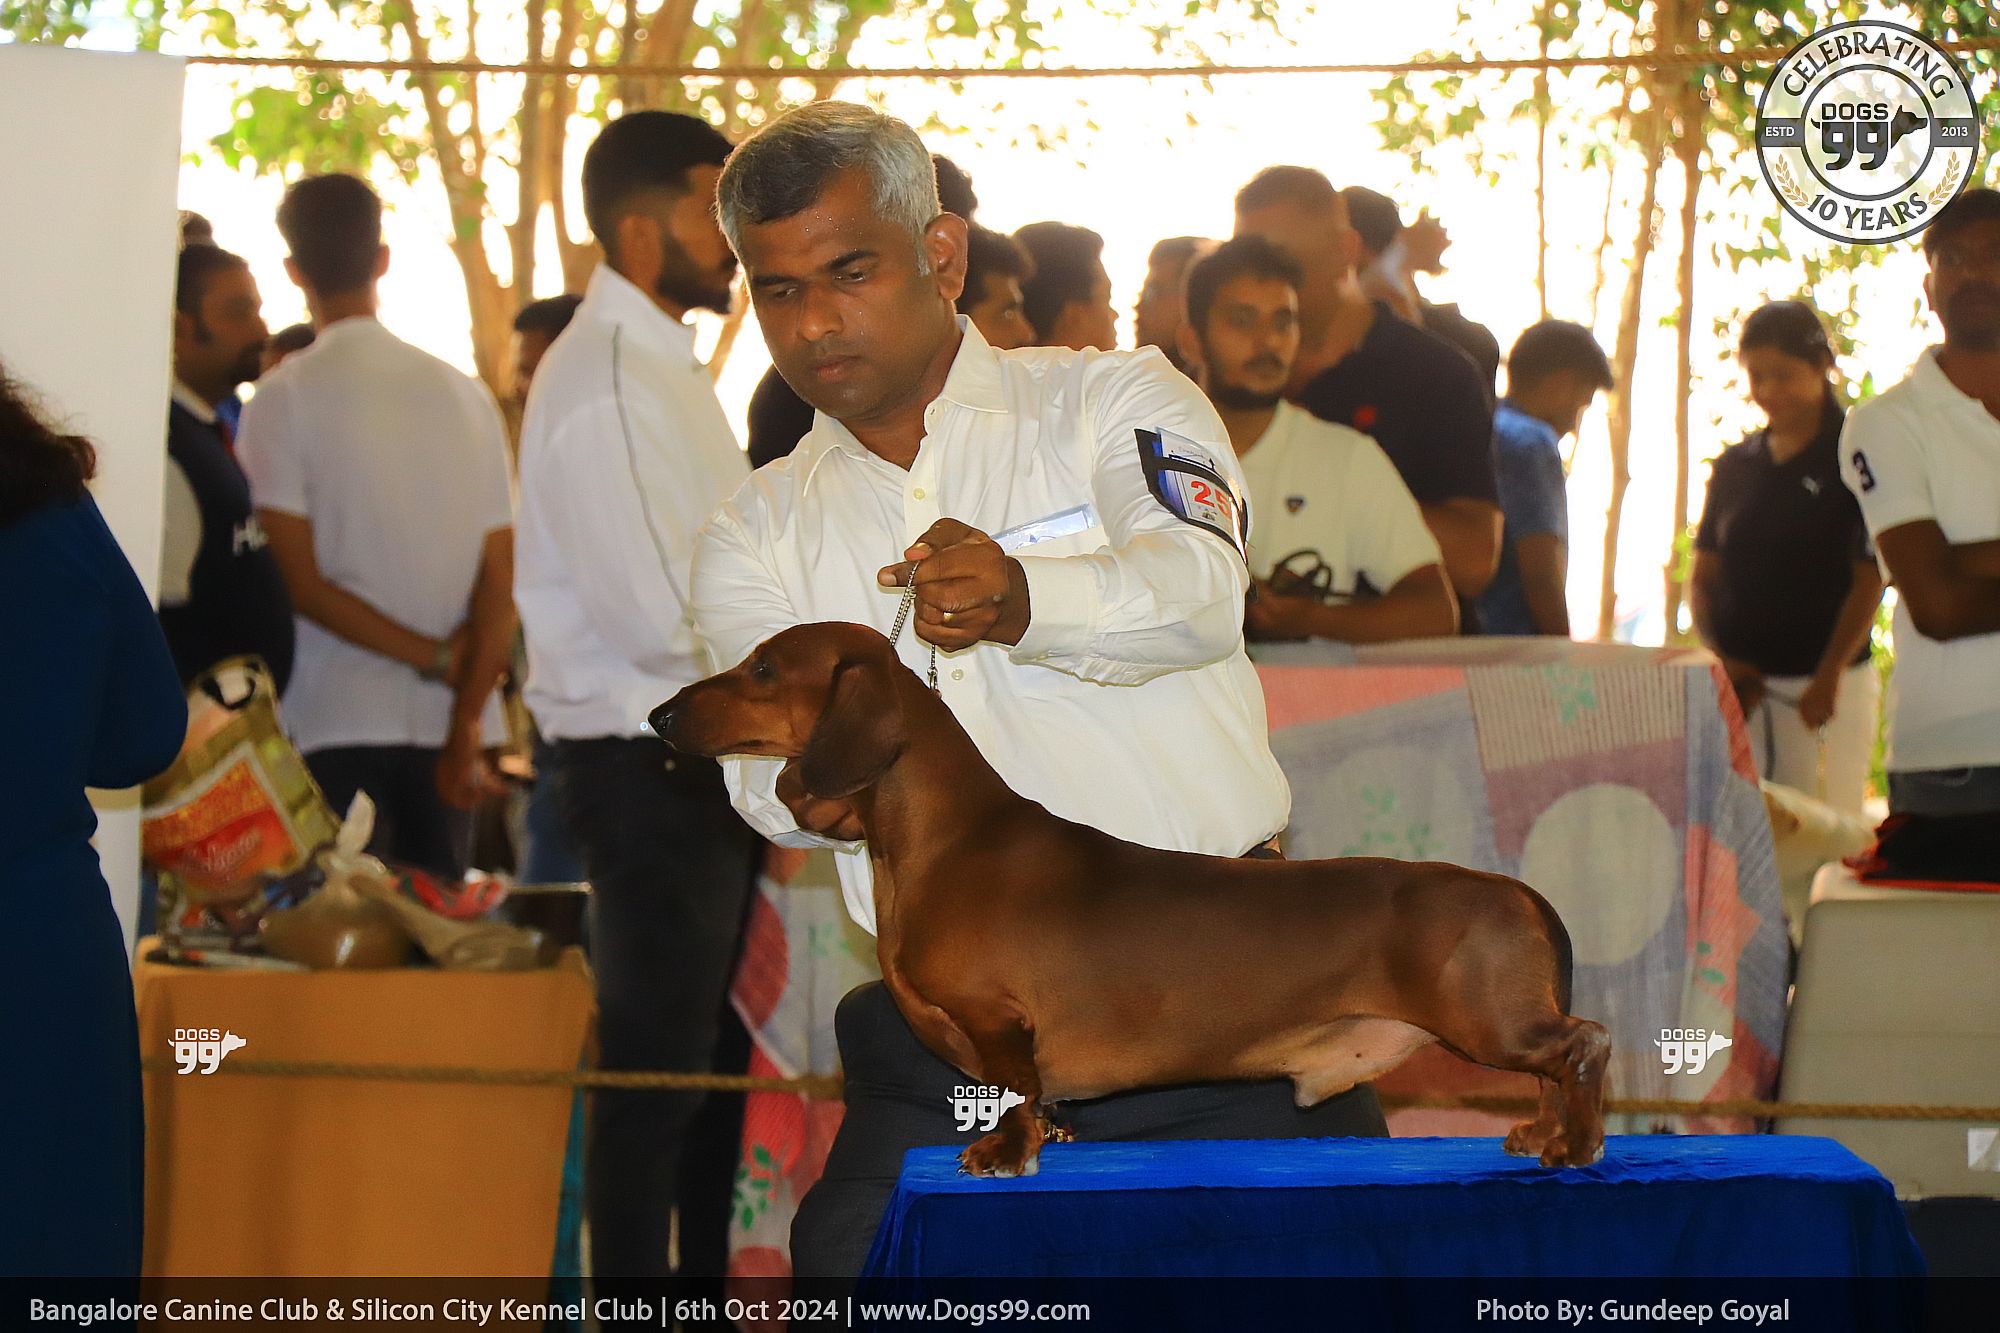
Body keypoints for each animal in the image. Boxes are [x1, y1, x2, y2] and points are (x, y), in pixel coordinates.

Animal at [653, 622, 1611, 1176]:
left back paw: (1578, 1141)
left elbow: (1015, 1088)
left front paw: (1006, 1151)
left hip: (1490, 1021)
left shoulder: (999, 1019)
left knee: (1583, 1045)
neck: (948, 841)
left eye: (764, 665)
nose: (659, 716)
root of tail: (1520, 891)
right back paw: (1544, 1137)